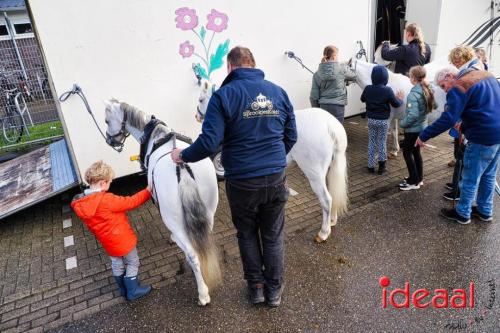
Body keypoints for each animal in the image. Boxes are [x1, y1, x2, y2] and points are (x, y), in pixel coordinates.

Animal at [103, 98, 221, 304]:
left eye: (107, 121)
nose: (110, 141)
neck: (156, 136)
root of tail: (181, 167)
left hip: (174, 218)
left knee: (192, 254)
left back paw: (202, 293)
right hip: (209, 211)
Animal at [195, 80, 348, 241]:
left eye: (201, 100)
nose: (197, 116)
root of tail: (330, 125)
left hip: (315, 174)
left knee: (326, 199)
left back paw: (323, 233)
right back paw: (332, 221)